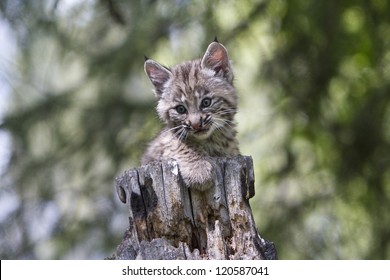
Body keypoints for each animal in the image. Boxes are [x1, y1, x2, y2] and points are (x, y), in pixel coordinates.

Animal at [142, 40, 239, 190]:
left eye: (206, 102)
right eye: (181, 109)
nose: (196, 125)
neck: (213, 138)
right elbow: (180, 143)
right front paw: (198, 170)